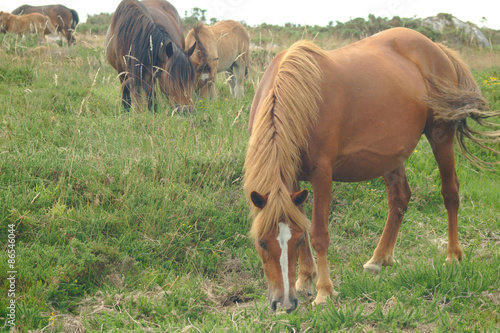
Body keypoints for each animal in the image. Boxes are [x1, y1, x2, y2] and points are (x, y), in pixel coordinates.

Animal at [243, 27, 500, 312]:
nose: (284, 303)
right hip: (390, 155)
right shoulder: (293, 178)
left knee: (450, 192)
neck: (298, 97)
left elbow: (318, 233)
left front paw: (324, 291)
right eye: (261, 242)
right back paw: (379, 258)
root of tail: (438, 49)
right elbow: (303, 223)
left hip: (440, 135)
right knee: (400, 198)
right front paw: (305, 279)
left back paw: (453, 255)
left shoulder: (322, 173)